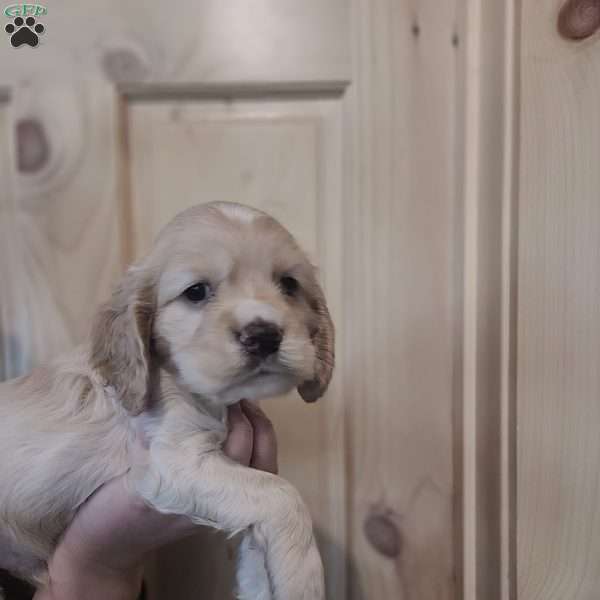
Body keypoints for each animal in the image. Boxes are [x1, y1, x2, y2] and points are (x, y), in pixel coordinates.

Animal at [0, 203, 332, 600]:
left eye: (289, 284)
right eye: (196, 292)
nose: (264, 335)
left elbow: (257, 550)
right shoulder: (174, 460)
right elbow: (282, 495)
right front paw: (305, 581)